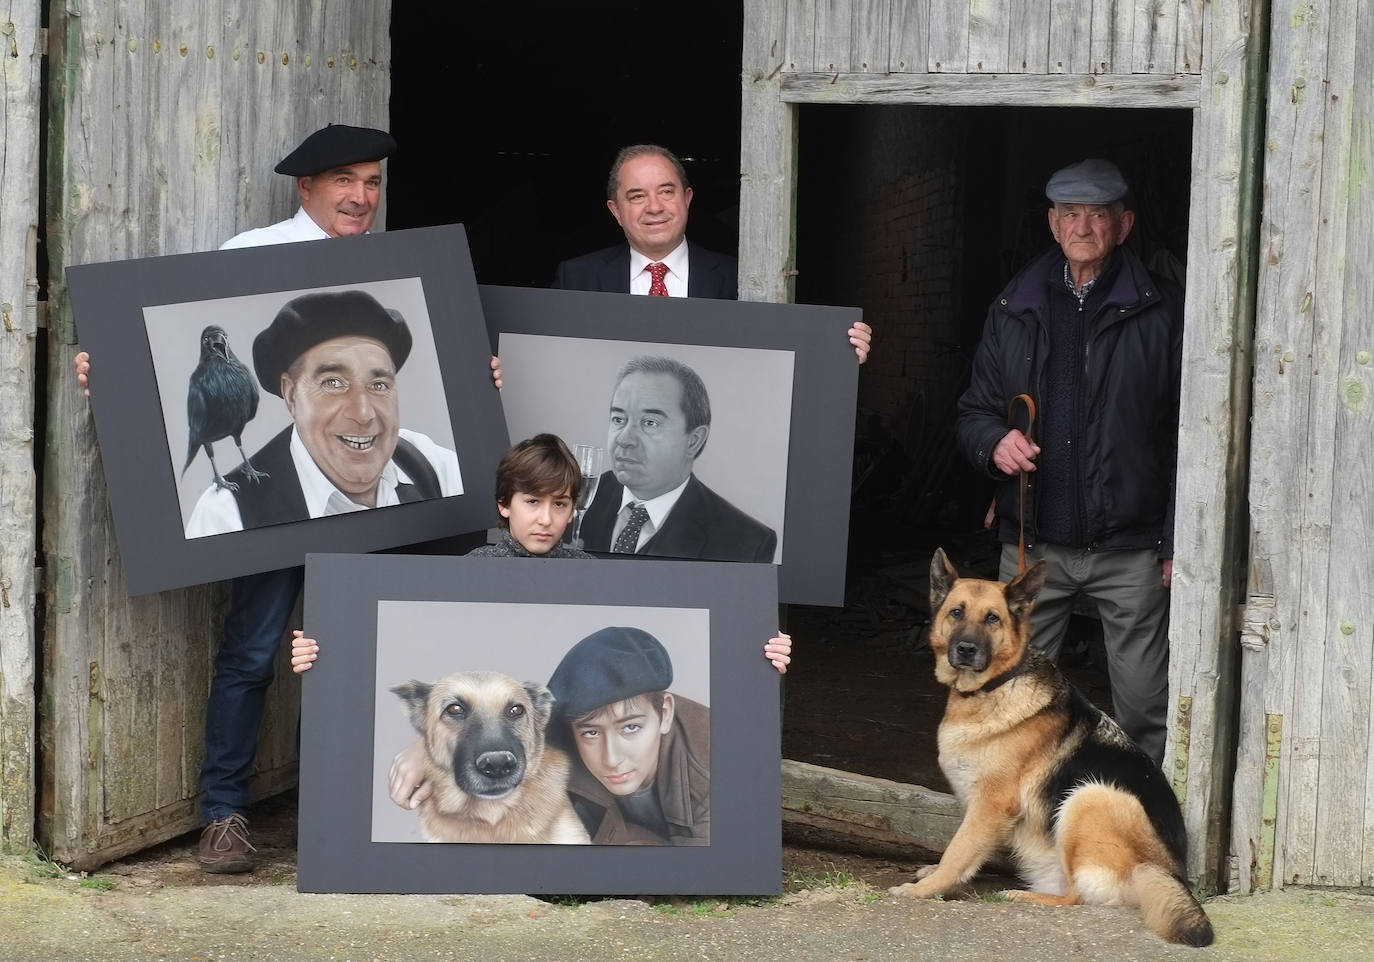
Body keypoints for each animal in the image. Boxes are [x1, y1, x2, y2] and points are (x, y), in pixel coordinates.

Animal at [890, 549, 1214, 945]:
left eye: (992, 618)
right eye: (956, 612)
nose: (966, 649)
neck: (997, 685)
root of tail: (1167, 873)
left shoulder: (991, 805)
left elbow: (958, 850)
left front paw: (924, 890)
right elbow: (960, 848)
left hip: (1091, 796)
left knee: (1077, 897)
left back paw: (1020, 896)